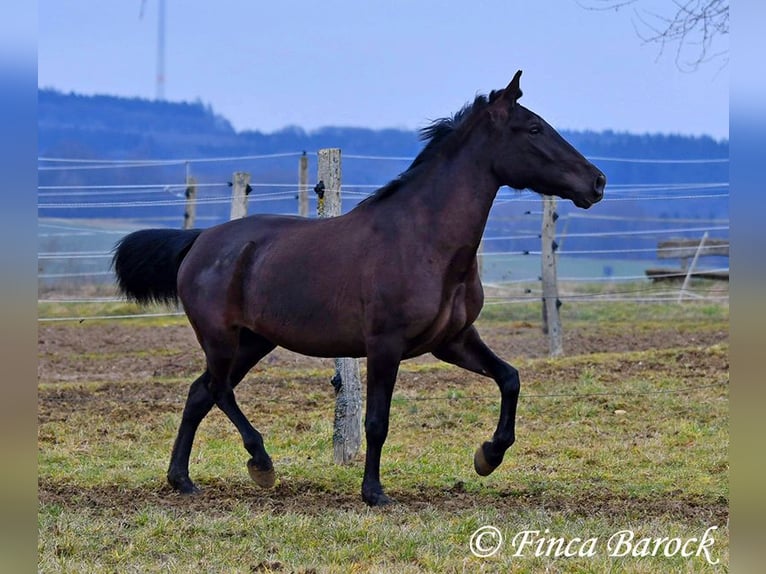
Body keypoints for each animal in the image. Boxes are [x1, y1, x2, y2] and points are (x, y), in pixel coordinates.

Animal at [114, 72, 608, 508]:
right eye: (534, 128)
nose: (597, 181)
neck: (424, 242)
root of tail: (200, 241)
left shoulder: (453, 340)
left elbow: (510, 378)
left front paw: (487, 456)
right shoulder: (384, 345)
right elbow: (376, 421)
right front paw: (374, 493)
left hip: (254, 341)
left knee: (200, 393)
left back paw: (182, 480)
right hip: (221, 337)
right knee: (218, 391)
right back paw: (261, 464)